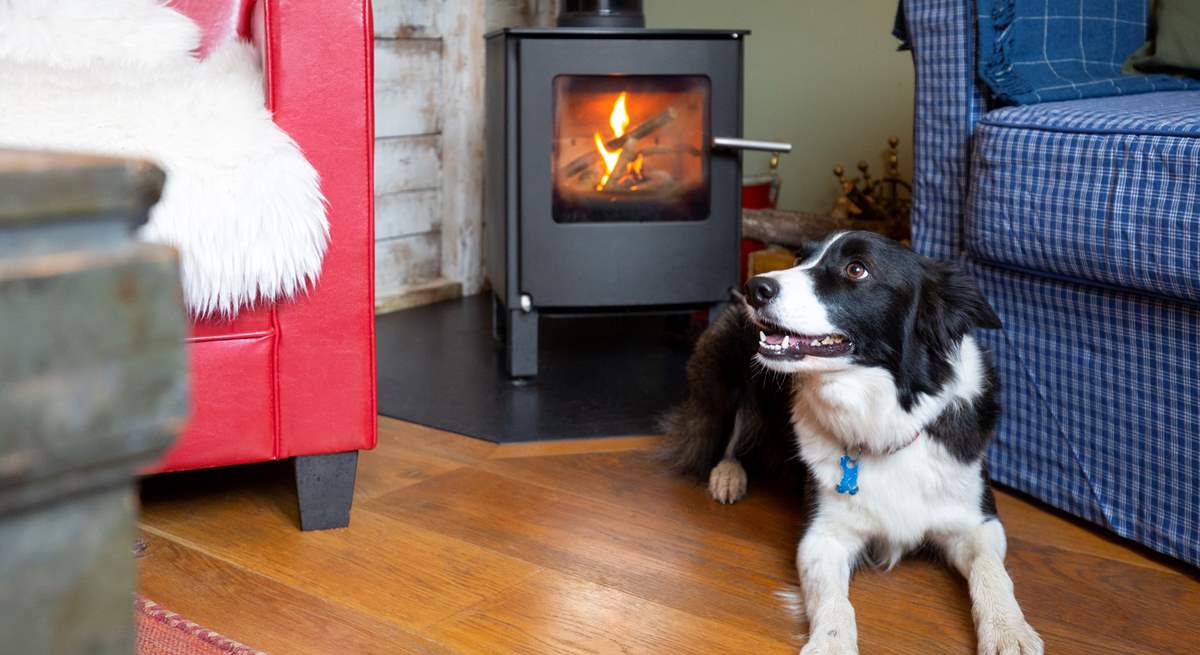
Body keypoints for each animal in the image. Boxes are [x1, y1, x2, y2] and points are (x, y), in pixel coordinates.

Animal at [662, 230, 1046, 652]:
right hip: (730, 362)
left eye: (856, 269)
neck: (885, 420)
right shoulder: (821, 535)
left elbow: (992, 571)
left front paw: (1009, 629)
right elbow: (835, 602)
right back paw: (728, 475)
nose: (754, 289)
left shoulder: (978, 522)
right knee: (731, 434)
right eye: (799, 258)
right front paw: (831, 643)